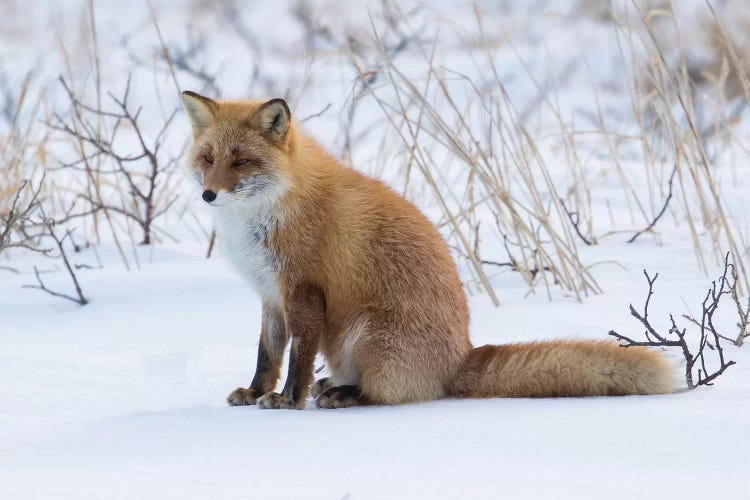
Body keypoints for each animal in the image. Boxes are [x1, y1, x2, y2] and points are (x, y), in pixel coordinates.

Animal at [181, 91, 676, 410]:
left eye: (242, 161)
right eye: (208, 159)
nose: (208, 195)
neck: (271, 211)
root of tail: (460, 358)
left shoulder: (303, 290)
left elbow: (297, 358)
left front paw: (287, 400)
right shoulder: (270, 292)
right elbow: (267, 353)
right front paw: (254, 392)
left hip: (364, 333)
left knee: (385, 394)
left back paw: (343, 394)